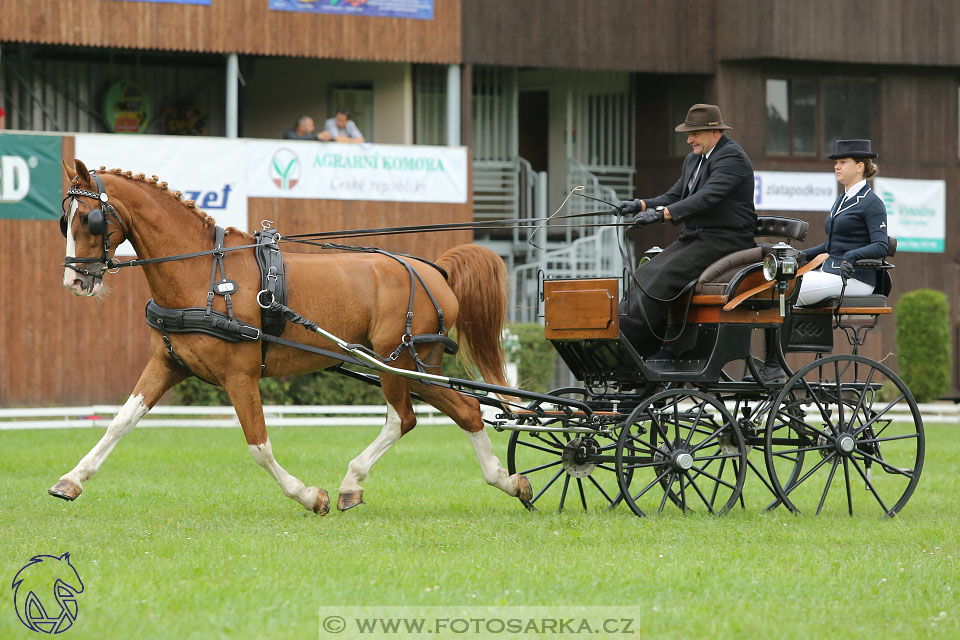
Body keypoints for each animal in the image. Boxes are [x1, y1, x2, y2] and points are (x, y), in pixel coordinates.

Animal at [50, 160, 532, 516]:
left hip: (396, 360)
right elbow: (121, 421)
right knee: (464, 410)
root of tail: (435, 269)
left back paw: (353, 482)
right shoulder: (168, 364)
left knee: (405, 418)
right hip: (417, 364)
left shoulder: (239, 376)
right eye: (64, 220)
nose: (73, 280)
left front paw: (308, 495)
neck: (204, 272)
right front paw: (71, 480)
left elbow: (259, 446)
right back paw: (507, 482)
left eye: (91, 219)